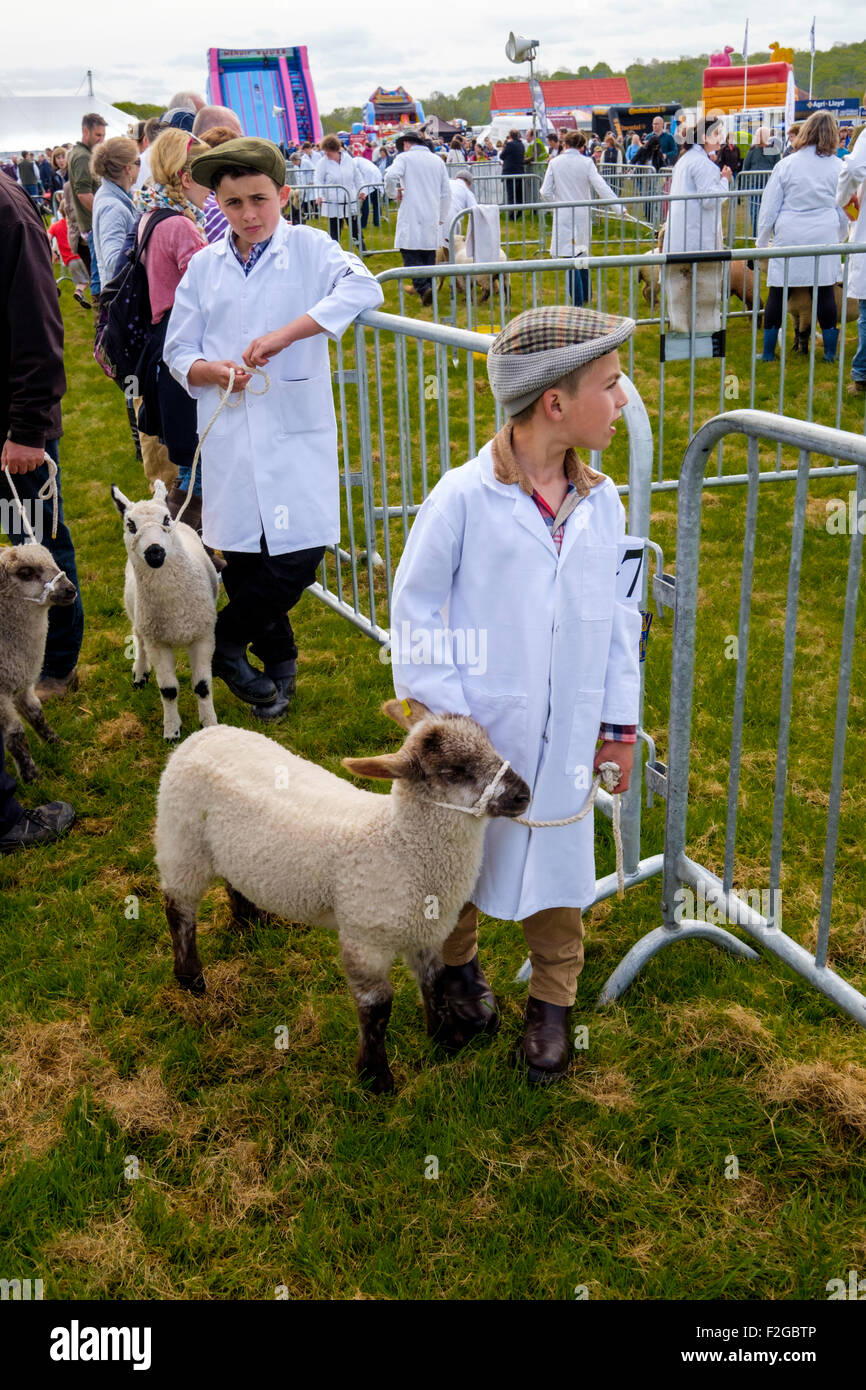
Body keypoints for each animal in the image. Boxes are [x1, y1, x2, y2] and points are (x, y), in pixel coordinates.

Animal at [0, 542, 77, 783]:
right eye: (25, 573)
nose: (70, 589)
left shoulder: (22, 679)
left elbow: (37, 715)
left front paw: (57, 744)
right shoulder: (0, 695)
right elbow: (15, 733)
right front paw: (32, 776)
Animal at [109, 475, 218, 739]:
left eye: (166, 520)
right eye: (130, 525)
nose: (155, 552)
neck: (174, 608)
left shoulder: (203, 635)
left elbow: (202, 686)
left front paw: (209, 724)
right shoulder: (157, 642)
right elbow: (168, 690)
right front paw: (171, 730)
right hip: (138, 614)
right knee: (138, 639)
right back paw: (140, 673)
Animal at [158, 700, 530, 1089]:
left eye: (490, 745)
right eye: (454, 771)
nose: (524, 794)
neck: (399, 843)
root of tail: (206, 734)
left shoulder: (428, 932)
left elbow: (435, 983)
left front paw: (444, 1040)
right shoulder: (364, 940)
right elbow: (377, 1007)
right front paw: (375, 1077)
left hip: (230, 851)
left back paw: (250, 922)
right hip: (181, 841)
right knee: (178, 909)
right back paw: (190, 978)